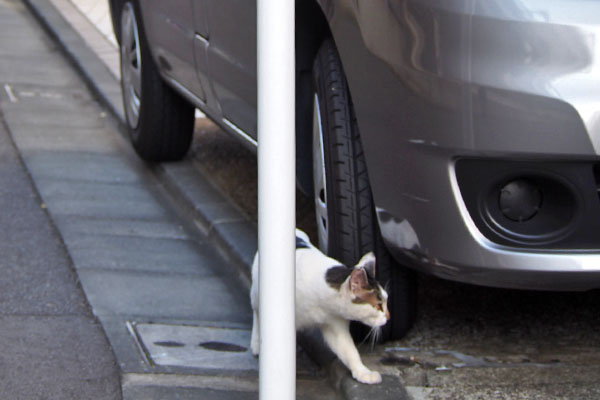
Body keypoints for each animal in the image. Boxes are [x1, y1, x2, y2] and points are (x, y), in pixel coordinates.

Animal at [250, 230, 386, 386]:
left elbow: (349, 351)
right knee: (257, 314)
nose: (388, 317)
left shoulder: (335, 326)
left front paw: (363, 372)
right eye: (379, 305)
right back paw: (256, 343)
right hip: (257, 294)